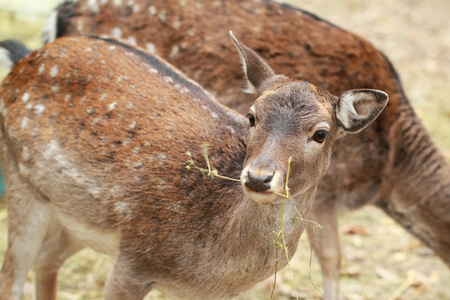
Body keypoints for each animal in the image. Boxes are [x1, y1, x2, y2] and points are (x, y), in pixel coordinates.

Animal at [0, 33, 386, 300]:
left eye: (321, 133)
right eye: (251, 116)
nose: (259, 177)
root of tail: (25, 59)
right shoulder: (134, 258)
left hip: (76, 215)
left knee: (47, 259)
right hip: (20, 178)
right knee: (13, 276)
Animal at [42, 0, 450, 300]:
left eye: (321, 134)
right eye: (250, 117)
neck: (391, 170)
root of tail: (60, 14)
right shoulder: (328, 194)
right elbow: (332, 260)